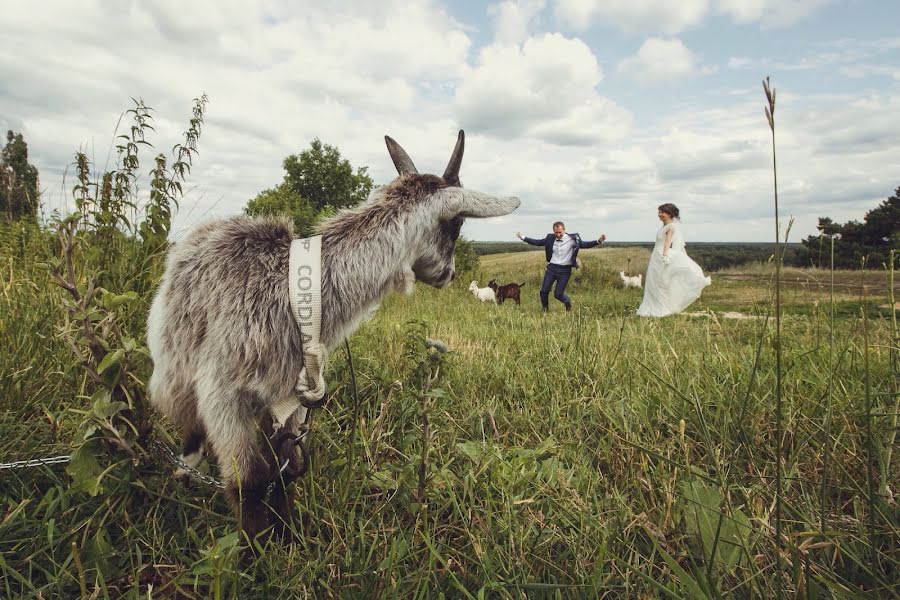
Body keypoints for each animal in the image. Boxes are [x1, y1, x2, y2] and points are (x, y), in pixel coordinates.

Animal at [148, 131, 520, 544]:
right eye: (455, 225)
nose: (449, 274)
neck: (295, 293)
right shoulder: (222, 393)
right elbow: (250, 482)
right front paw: (259, 551)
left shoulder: (292, 397)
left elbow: (287, 467)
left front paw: (286, 538)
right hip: (173, 364)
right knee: (189, 421)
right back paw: (184, 470)